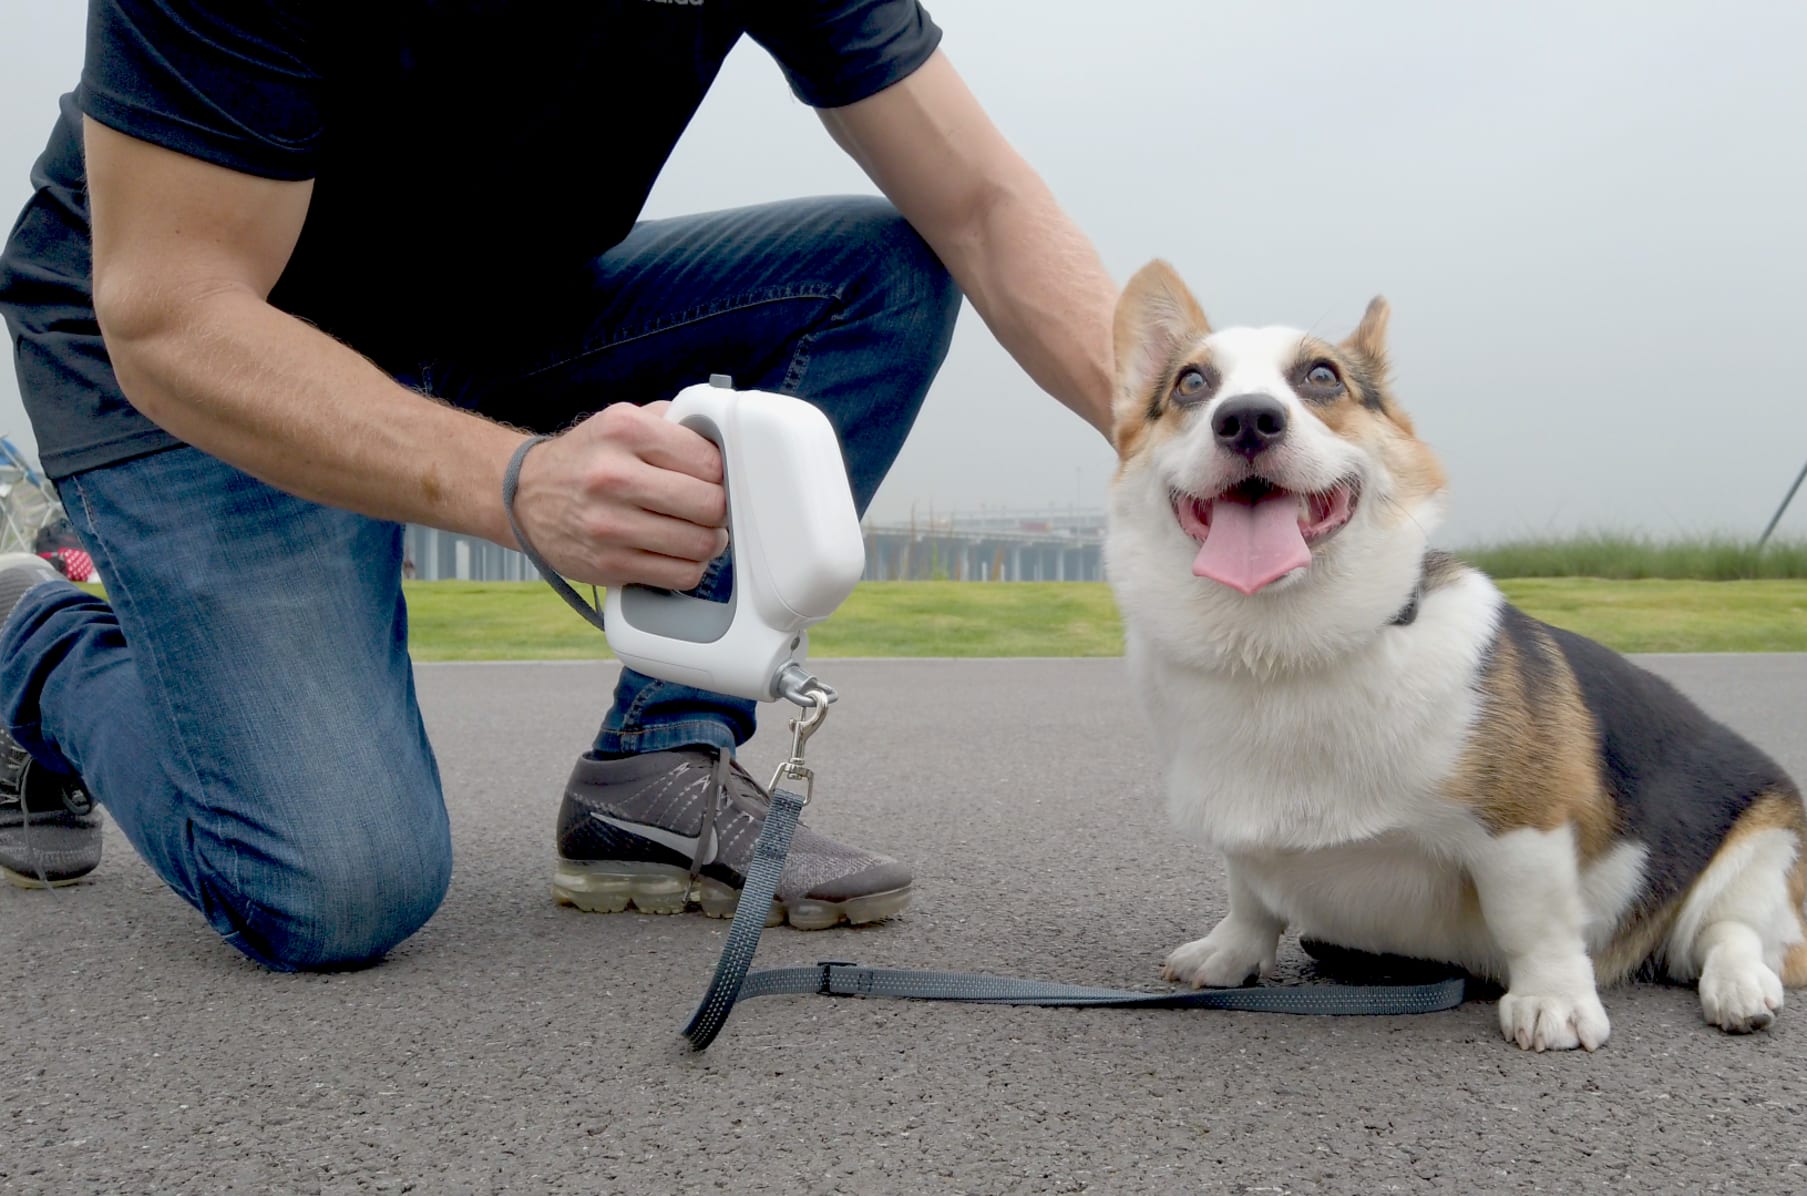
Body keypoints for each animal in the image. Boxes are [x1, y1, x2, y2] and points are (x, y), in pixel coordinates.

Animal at [1098, 260, 1807, 1047]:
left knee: (1731, 933)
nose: (1247, 418)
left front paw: (1553, 1001)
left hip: (1760, 849)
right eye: (1192, 383)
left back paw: (1739, 987)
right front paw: (1228, 954)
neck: (1281, 651)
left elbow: (1535, 924)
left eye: (1321, 376)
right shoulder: (1240, 836)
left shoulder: (1522, 830)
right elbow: (1250, 897)